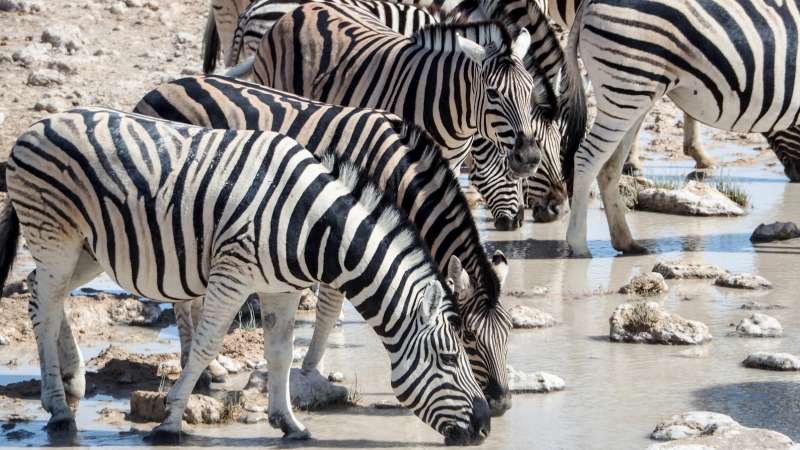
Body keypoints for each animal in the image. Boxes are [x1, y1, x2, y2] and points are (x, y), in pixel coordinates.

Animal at [1, 107, 491, 444]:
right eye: (451, 359)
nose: (486, 425)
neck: (312, 226)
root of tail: (35, 126)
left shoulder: (282, 289)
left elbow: (280, 353)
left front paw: (289, 423)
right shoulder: (231, 273)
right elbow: (205, 345)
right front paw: (170, 420)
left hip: (87, 249)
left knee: (45, 294)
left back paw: (71, 383)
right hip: (56, 237)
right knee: (44, 307)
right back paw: (60, 409)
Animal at [134, 74, 514, 415]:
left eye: (508, 333)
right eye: (469, 337)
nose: (502, 404)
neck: (398, 174)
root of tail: (160, 87)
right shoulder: (346, 230)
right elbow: (330, 309)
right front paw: (311, 370)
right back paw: (199, 367)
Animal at [566, 0, 800, 258]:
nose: (796, 175)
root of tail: (589, 3)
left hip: (635, 94)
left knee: (608, 166)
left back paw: (627, 243)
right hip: (627, 85)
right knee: (586, 158)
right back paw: (578, 245)